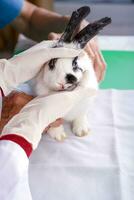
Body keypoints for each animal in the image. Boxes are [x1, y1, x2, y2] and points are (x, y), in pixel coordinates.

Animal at [29, 6, 111, 141]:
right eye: (51, 63)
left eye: (75, 64)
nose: (62, 82)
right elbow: (54, 123)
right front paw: (59, 136)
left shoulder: (84, 106)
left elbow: (80, 116)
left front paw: (82, 131)